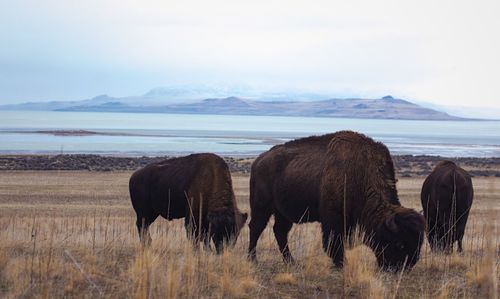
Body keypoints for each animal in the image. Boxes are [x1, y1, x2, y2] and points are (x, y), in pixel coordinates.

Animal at [248, 131, 424, 272]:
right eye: (400, 243)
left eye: (419, 243)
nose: (404, 267)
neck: (361, 172)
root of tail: (258, 161)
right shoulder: (334, 218)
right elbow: (334, 242)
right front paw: (340, 264)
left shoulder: (349, 220)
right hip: (262, 207)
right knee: (256, 228)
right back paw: (252, 259)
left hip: (282, 213)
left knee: (280, 232)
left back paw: (291, 262)